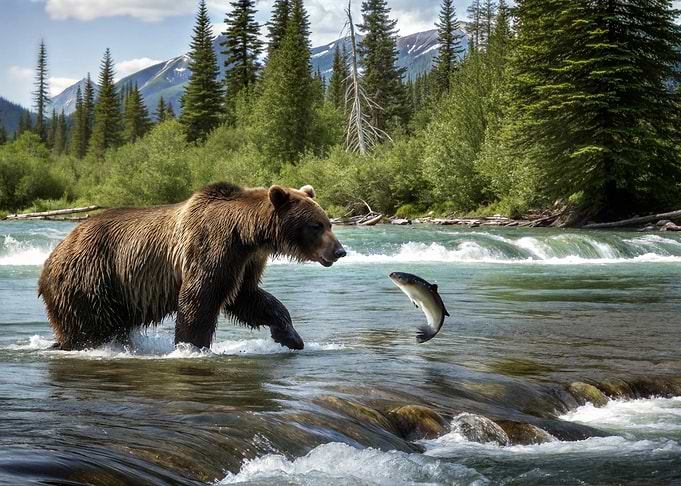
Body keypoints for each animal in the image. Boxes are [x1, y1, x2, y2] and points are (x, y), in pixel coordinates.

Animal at [38, 182, 346, 351]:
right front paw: (192, 346)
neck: (247, 235)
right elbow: (199, 298)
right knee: (89, 325)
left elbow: (248, 298)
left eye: (328, 223)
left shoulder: (245, 262)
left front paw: (290, 336)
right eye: (316, 225)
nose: (340, 250)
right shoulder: (212, 245)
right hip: (91, 277)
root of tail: (53, 255)